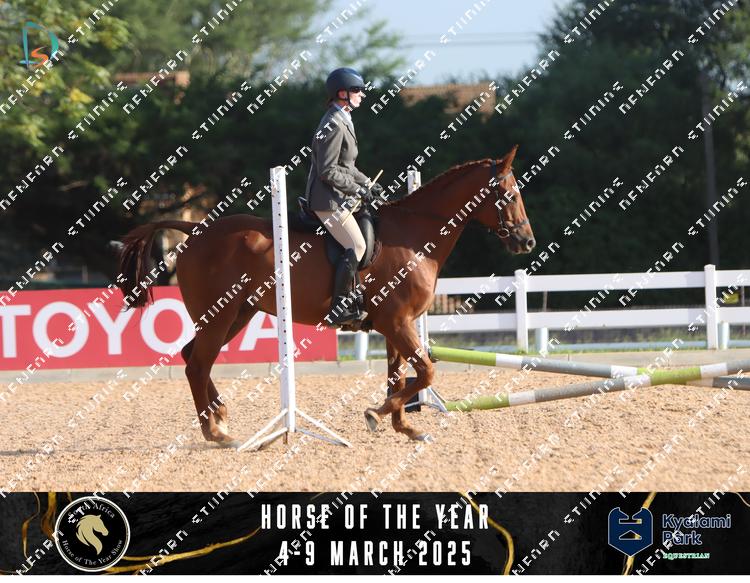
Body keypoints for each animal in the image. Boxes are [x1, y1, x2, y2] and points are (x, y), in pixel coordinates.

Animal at [116, 146, 535, 446]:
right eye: (510, 194)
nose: (527, 242)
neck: (415, 237)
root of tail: (197, 230)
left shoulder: (396, 325)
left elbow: (400, 375)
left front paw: (404, 426)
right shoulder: (397, 322)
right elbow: (426, 371)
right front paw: (376, 414)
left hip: (239, 314)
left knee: (193, 357)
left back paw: (219, 414)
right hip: (219, 314)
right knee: (197, 364)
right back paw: (216, 433)